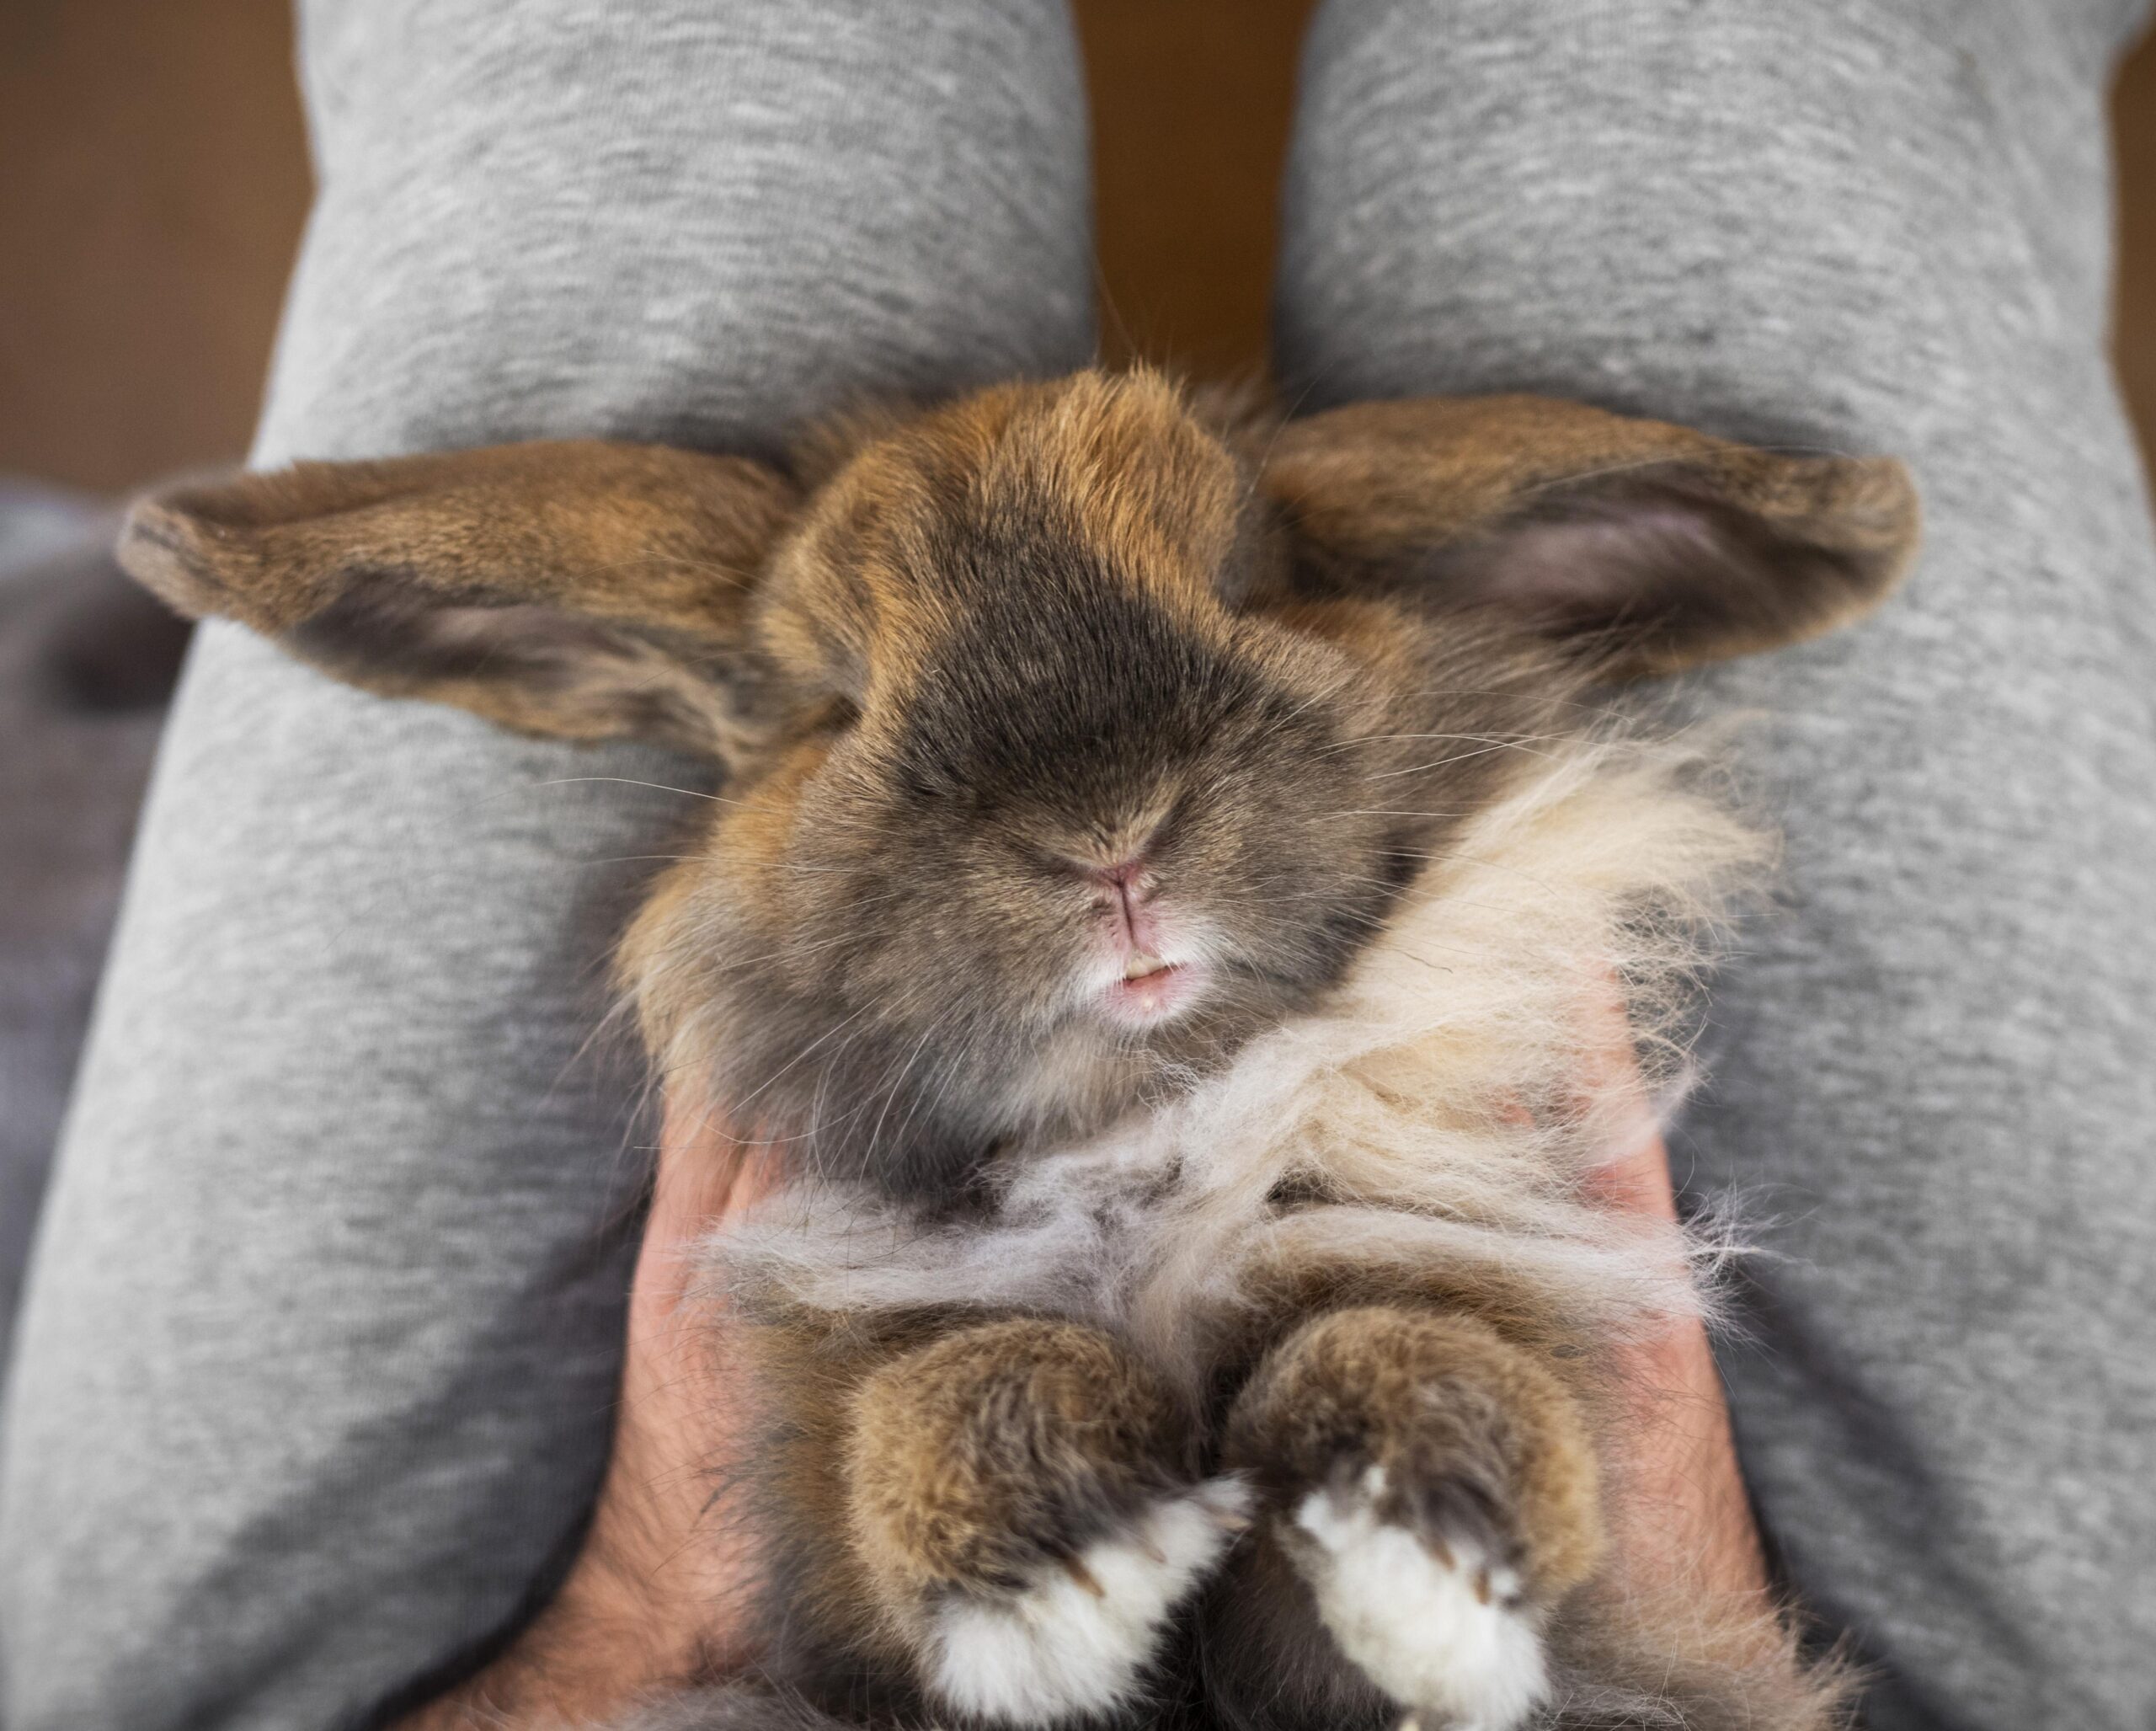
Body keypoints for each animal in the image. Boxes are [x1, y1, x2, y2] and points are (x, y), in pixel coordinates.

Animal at [122, 368, 1923, 1731]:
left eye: (1252, 581)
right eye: (834, 701)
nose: (1108, 838)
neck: (1148, 1112)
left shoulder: (1463, 1268)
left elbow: (1414, 1345)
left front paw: (1430, 1558)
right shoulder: (825, 1496)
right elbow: (947, 1390)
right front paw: (1074, 1561)